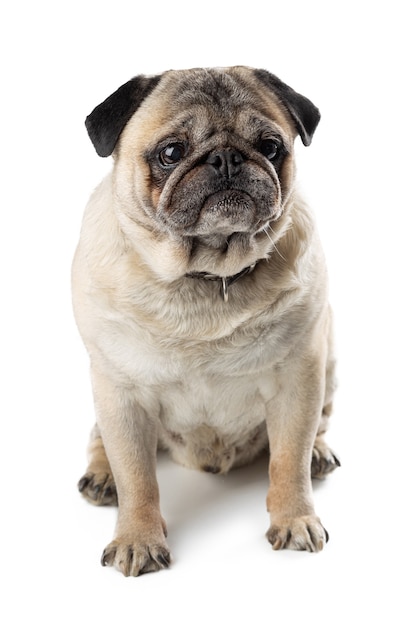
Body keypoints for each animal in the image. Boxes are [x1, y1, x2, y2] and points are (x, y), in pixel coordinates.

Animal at [71, 64, 338, 576]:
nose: (227, 158)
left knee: (316, 428)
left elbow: (288, 460)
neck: (209, 275)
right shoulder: (121, 393)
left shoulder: (299, 379)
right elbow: (137, 476)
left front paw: (295, 518)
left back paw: (318, 451)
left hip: (329, 367)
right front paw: (137, 538)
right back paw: (101, 474)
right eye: (171, 153)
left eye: (271, 147)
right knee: (101, 439)